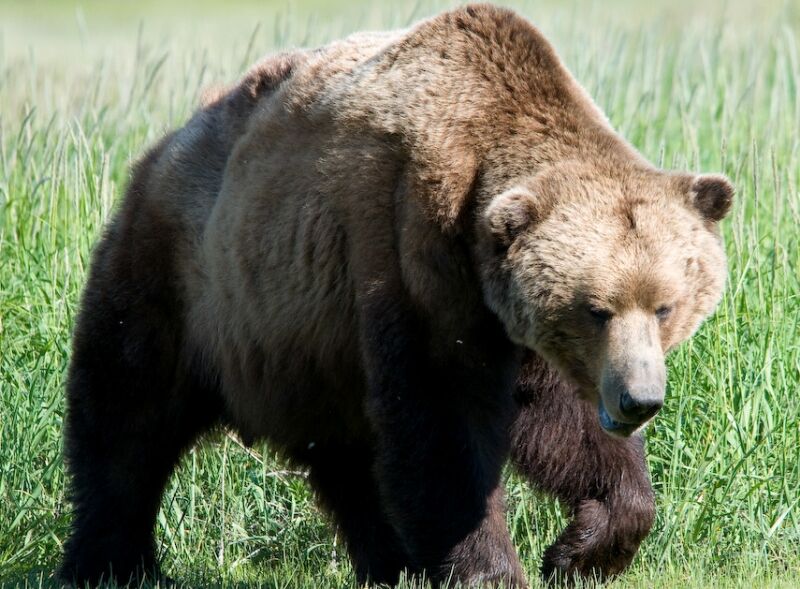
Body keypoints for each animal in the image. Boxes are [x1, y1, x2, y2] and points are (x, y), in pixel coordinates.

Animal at [59, 3, 736, 584]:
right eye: (596, 309)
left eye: (665, 305)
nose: (638, 400)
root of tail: (167, 142)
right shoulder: (413, 254)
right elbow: (442, 424)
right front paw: (492, 568)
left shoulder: (516, 325)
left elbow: (563, 426)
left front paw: (581, 549)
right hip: (187, 278)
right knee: (125, 415)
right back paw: (112, 562)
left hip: (309, 348)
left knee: (347, 461)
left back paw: (389, 562)